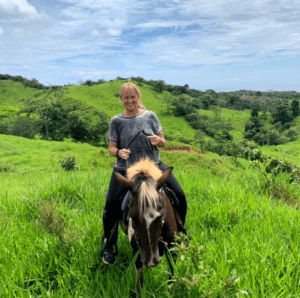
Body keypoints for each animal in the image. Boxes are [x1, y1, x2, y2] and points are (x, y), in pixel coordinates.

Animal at [110, 157, 185, 288]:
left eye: (160, 216)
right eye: (133, 218)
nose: (152, 262)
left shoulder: (171, 246)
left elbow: (172, 272)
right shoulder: (136, 248)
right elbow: (139, 279)